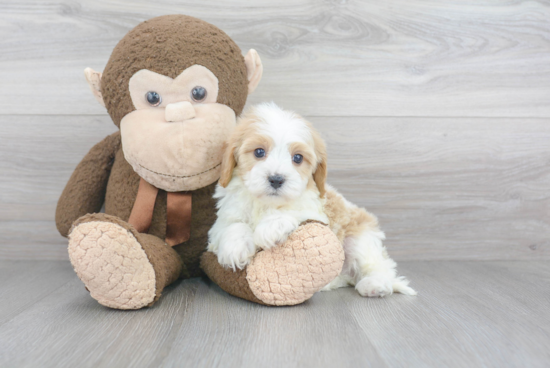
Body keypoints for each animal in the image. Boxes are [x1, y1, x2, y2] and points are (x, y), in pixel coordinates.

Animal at [209, 102, 416, 298]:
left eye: (297, 158)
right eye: (259, 152)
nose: (276, 179)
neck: (266, 203)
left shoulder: (316, 212)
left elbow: (295, 210)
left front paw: (271, 226)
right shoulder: (223, 219)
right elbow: (233, 224)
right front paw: (235, 248)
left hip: (360, 238)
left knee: (379, 266)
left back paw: (374, 284)